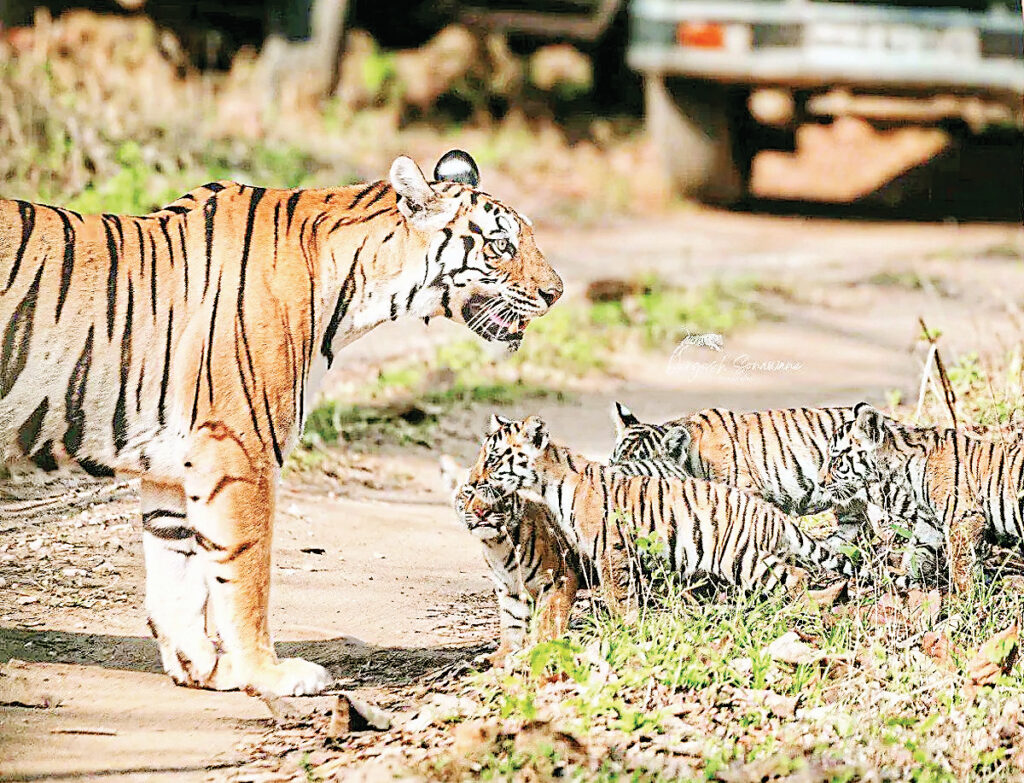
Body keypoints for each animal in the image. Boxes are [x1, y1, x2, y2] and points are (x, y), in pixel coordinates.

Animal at [0, 149, 561, 691]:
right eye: (501, 245)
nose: (557, 293)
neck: (357, 288)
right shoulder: (237, 448)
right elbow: (245, 569)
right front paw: (267, 673)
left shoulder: (169, 467)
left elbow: (176, 570)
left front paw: (204, 669)